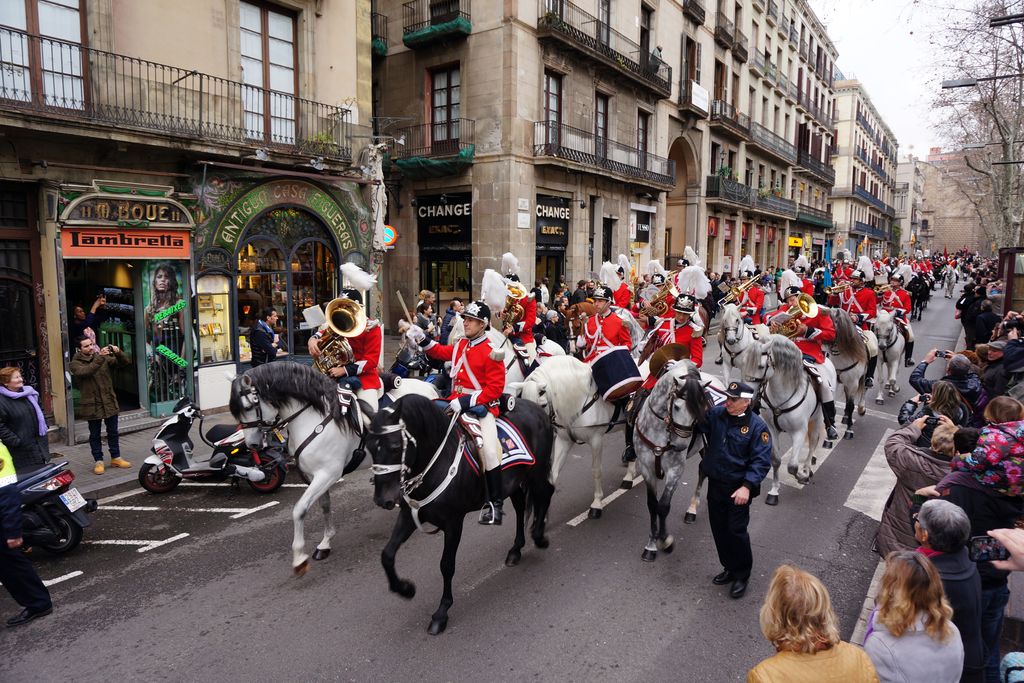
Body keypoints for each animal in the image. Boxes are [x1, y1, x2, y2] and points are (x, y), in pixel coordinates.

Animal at [228, 362, 368, 577]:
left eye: (249, 407)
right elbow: (325, 506)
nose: (251, 445)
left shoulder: (328, 474)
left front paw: (299, 558)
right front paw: (325, 543)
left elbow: (299, 510)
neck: (314, 417)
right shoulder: (314, 475)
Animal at [368, 395, 557, 634]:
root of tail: (536, 408)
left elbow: (446, 565)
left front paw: (441, 613)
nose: (382, 500)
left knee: (546, 492)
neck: (436, 461)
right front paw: (405, 589)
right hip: (513, 481)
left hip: (536, 471)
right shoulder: (409, 515)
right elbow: (387, 555)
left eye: (394, 446)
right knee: (522, 505)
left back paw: (539, 537)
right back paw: (516, 550)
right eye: (369, 447)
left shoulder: (453, 522)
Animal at [630, 360, 712, 565]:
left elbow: (664, 506)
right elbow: (653, 505)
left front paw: (665, 541)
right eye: (677, 407)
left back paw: (692, 509)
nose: (681, 445)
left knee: (704, 471)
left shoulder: (675, 470)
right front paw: (651, 546)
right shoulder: (647, 468)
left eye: (700, 409)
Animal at [827, 309, 868, 440]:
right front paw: (832, 428)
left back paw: (861, 408)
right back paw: (844, 417)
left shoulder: (854, 383)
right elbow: (833, 405)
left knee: (864, 389)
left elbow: (851, 406)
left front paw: (849, 430)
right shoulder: (835, 381)